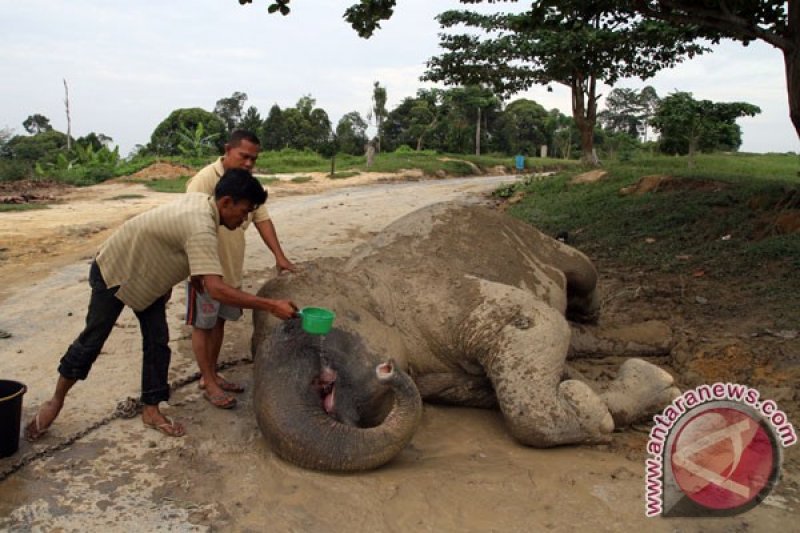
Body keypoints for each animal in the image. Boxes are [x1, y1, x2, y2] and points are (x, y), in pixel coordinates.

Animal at [253, 200, 680, 470]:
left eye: (297, 322)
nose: (388, 371)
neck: (358, 274)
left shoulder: (432, 297)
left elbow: (531, 319)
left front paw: (641, 391)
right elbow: (484, 386)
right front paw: (599, 390)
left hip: (545, 244)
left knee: (582, 282)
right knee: (578, 331)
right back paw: (661, 340)